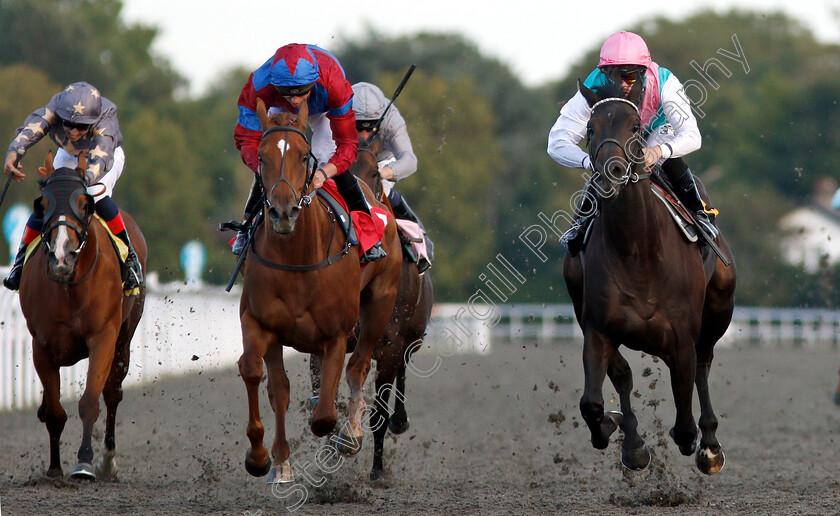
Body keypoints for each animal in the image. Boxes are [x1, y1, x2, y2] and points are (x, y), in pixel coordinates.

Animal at [18, 151, 146, 482]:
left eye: (84, 203)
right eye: (43, 204)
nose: (62, 255)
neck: (70, 287)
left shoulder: (103, 337)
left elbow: (90, 400)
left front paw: (85, 463)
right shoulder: (42, 346)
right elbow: (53, 411)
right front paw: (54, 468)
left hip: (125, 336)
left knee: (112, 393)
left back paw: (108, 462)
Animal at [236, 100, 400, 484]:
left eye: (303, 155)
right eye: (261, 157)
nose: (282, 211)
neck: (297, 256)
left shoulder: (336, 333)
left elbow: (325, 415)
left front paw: (344, 435)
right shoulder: (260, 322)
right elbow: (260, 377)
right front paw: (267, 459)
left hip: (380, 303)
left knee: (358, 367)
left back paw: (352, 433)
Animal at [344, 136, 434, 480]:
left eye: (374, 173)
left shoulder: (392, 343)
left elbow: (379, 411)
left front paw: (378, 471)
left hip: (410, 337)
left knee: (403, 369)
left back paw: (400, 420)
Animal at [564, 83, 736, 476]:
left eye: (634, 126)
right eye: (591, 128)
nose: (611, 172)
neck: (636, 252)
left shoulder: (682, 338)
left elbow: (684, 421)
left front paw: (696, 441)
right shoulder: (598, 330)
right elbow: (592, 402)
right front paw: (620, 434)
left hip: (719, 308)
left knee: (703, 365)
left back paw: (710, 446)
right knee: (624, 376)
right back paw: (633, 443)